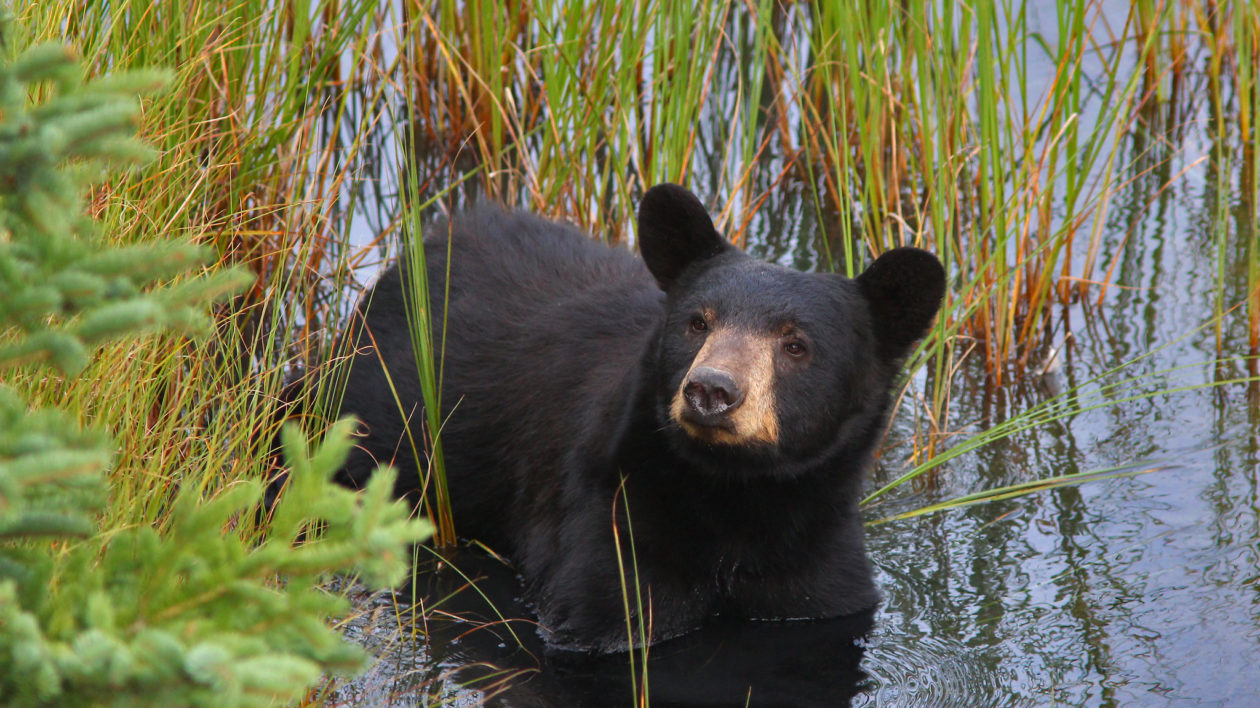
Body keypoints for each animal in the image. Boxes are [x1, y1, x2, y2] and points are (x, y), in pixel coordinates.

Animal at [330, 181, 942, 650]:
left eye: (796, 345)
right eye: (698, 321)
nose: (711, 389)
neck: (736, 496)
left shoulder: (819, 556)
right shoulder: (607, 519)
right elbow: (607, 605)